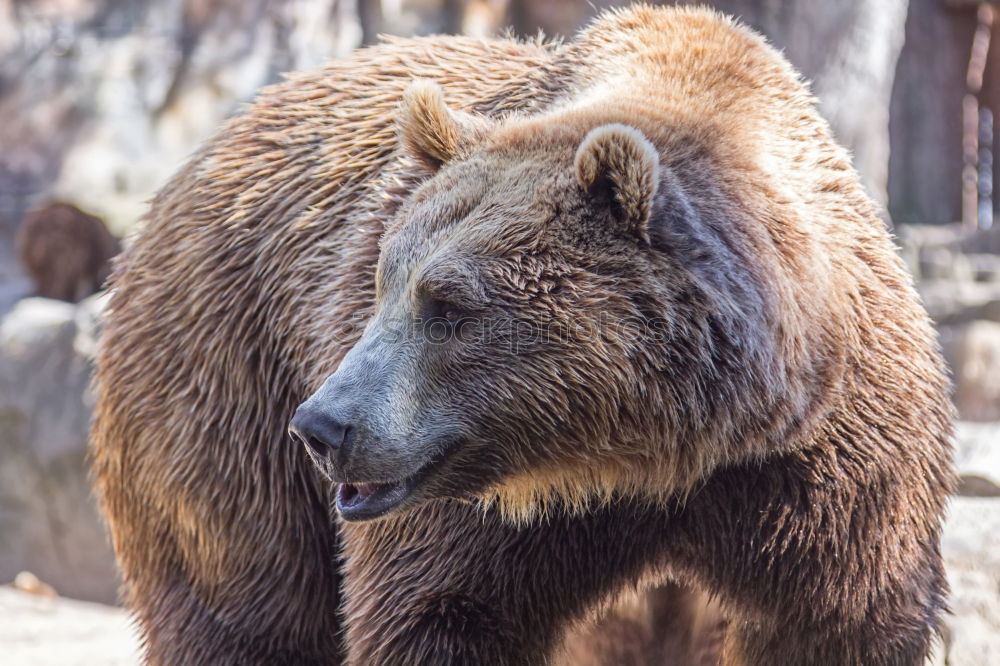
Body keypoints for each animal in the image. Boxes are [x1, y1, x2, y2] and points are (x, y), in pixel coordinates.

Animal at [92, 5, 952, 664]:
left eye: (449, 306)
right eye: (382, 283)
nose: (325, 426)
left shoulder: (827, 478)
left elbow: (839, 622)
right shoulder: (480, 525)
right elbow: (439, 613)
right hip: (220, 376)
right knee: (247, 602)